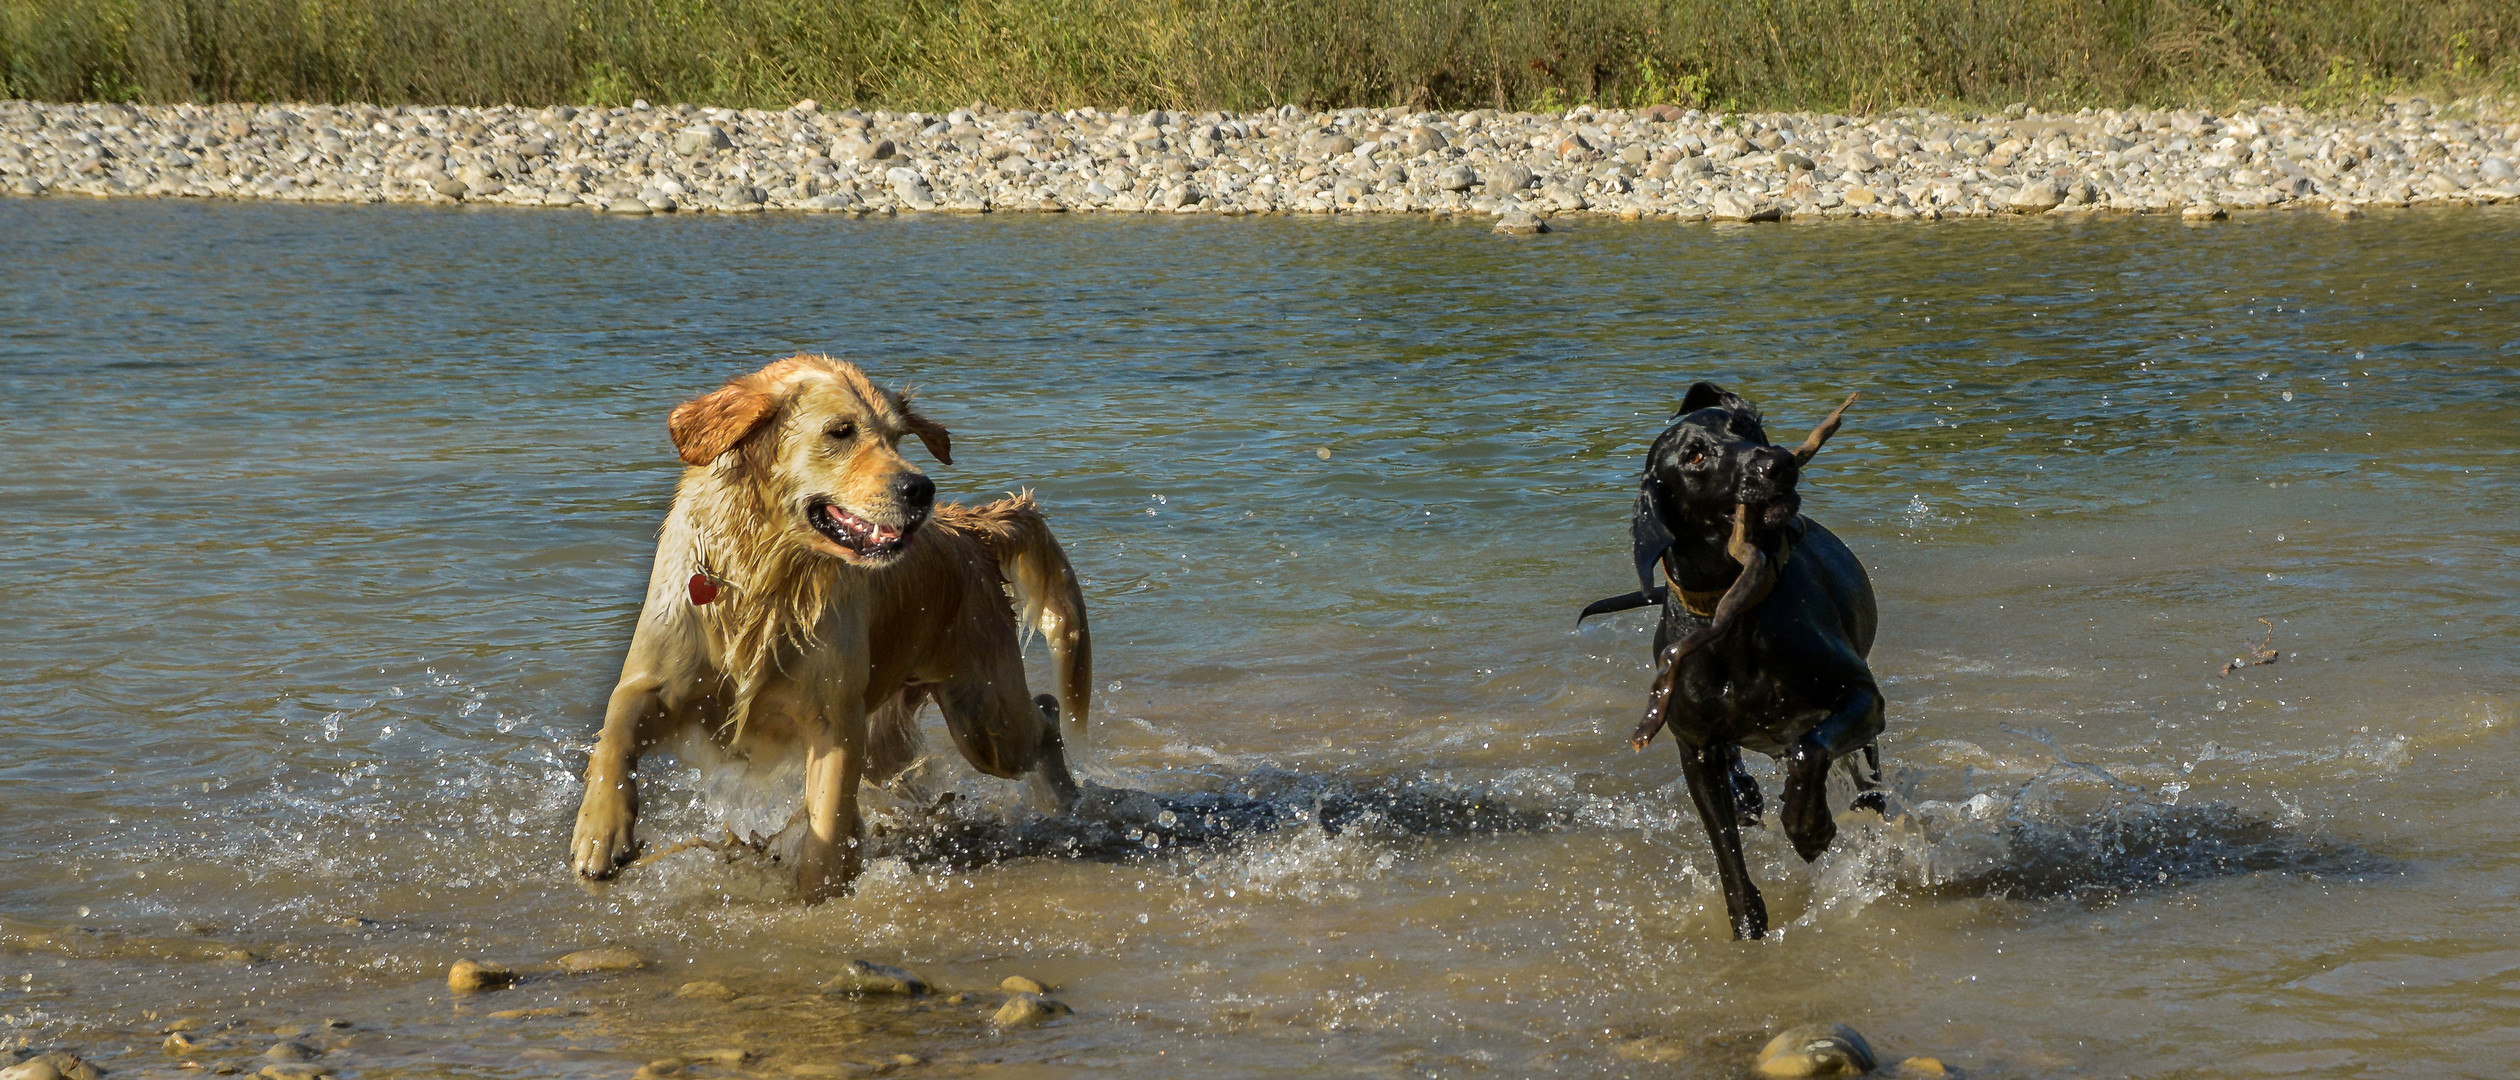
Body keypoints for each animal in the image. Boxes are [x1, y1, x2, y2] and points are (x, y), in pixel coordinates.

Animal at [1582, 380, 1884, 936]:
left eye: (1744, 427)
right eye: (1695, 456)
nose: (1778, 462)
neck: (1736, 613)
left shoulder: (1862, 697)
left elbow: (1810, 749)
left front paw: (1808, 826)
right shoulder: (1695, 751)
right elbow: (1723, 843)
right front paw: (1746, 922)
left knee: (1865, 781)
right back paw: (1746, 792)